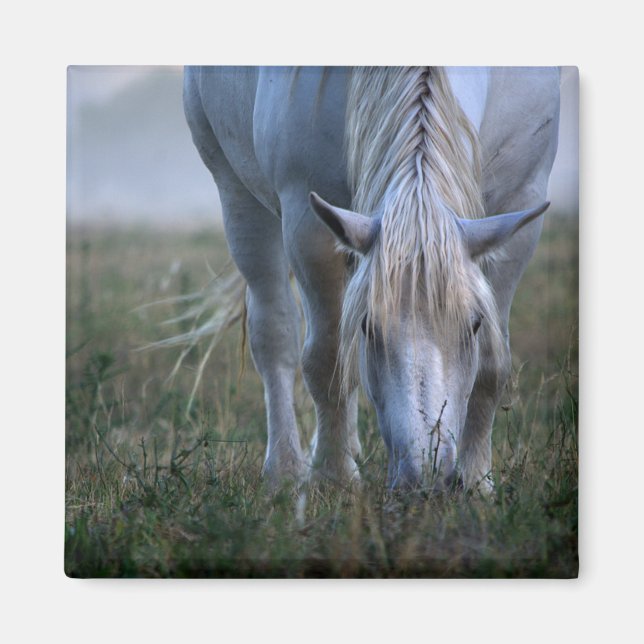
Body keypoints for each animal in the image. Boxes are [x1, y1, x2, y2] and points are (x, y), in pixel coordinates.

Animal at [183, 66, 560, 491]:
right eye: (368, 327)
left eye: (475, 325)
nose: (425, 478)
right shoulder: (306, 219)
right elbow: (327, 358)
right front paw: (334, 479)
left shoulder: (522, 204)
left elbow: (493, 365)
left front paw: (478, 483)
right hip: (238, 196)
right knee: (275, 334)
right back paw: (286, 470)